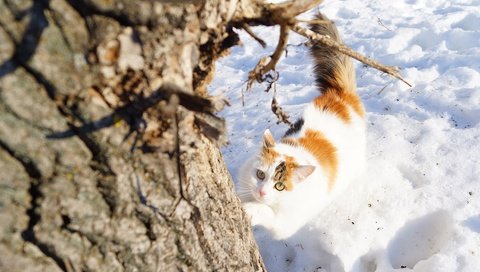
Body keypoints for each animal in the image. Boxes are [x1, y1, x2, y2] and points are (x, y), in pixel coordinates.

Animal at [234, 12, 366, 239]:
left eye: (279, 186)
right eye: (260, 174)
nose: (261, 192)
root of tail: (341, 94)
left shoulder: (284, 224)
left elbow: (265, 210)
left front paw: (250, 210)